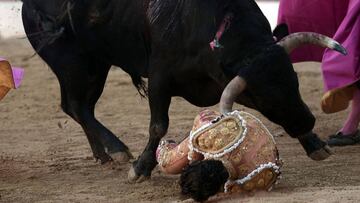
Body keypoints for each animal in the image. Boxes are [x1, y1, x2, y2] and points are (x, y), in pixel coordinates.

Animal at [21, 0, 342, 182]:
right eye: (260, 96)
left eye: (294, 80)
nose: (307, 122)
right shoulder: (160, 78)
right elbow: (158, 126)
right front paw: (140, 169)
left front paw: (315, 144)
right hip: (71, 62)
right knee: (76, 105)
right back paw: (117, 149)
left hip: (95, 65)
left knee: (78, 106)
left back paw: (103, 154)